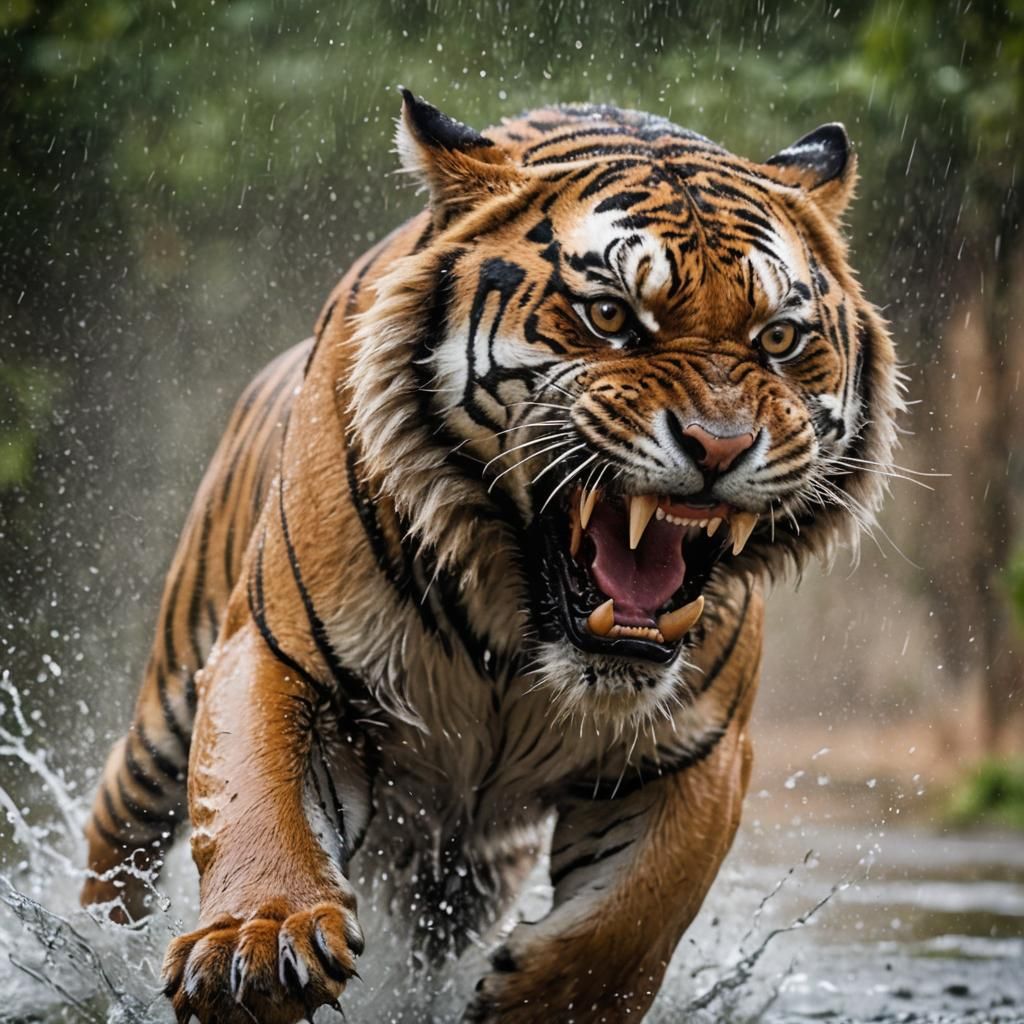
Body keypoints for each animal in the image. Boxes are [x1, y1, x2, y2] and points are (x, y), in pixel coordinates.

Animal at [80, 91, 898, 1023]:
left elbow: (640, 905)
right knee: (118, 836)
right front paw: (255, 947)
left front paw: (541, 1001)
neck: (523, 628)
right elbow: (258, 797)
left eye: (780, 338)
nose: (720, 445)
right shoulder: (278, 652)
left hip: (461, 863)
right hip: (163, 714)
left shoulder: (696, 748)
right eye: (611, 316)